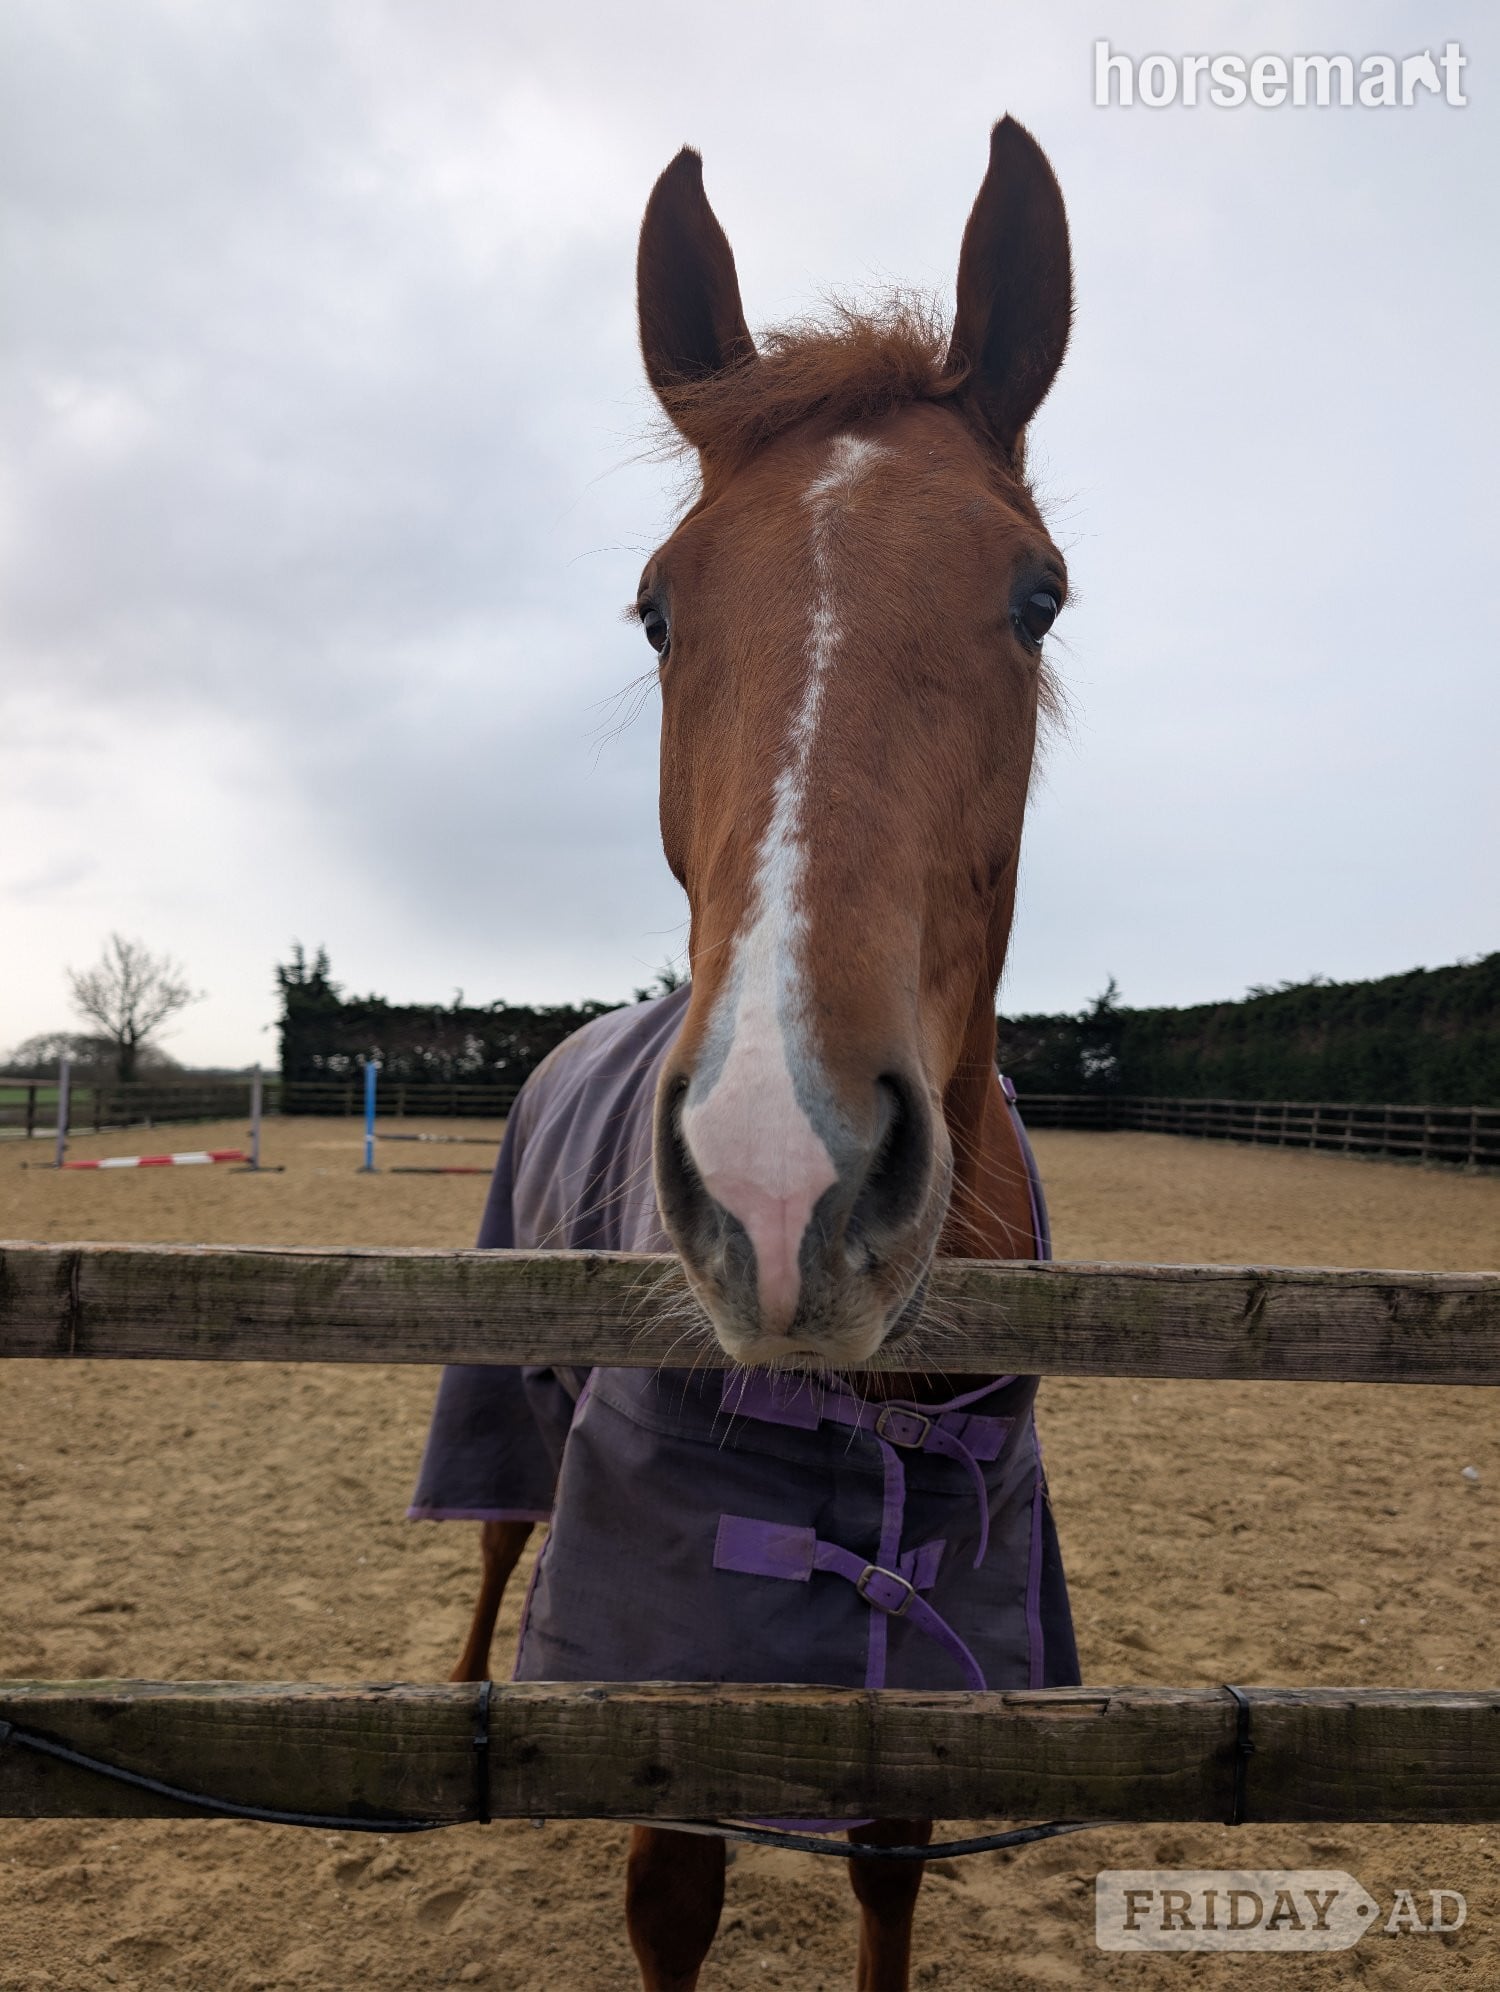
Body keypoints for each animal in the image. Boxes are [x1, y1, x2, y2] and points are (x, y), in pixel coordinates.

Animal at [413, 115, 1076, 1990]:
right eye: (656, 610)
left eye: (1037, 596)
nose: (788, 1183)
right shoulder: (671, 1677)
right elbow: (672, 1901)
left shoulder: (931, 1669)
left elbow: (888, 1878)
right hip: (503, 1382)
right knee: (495, 1538)